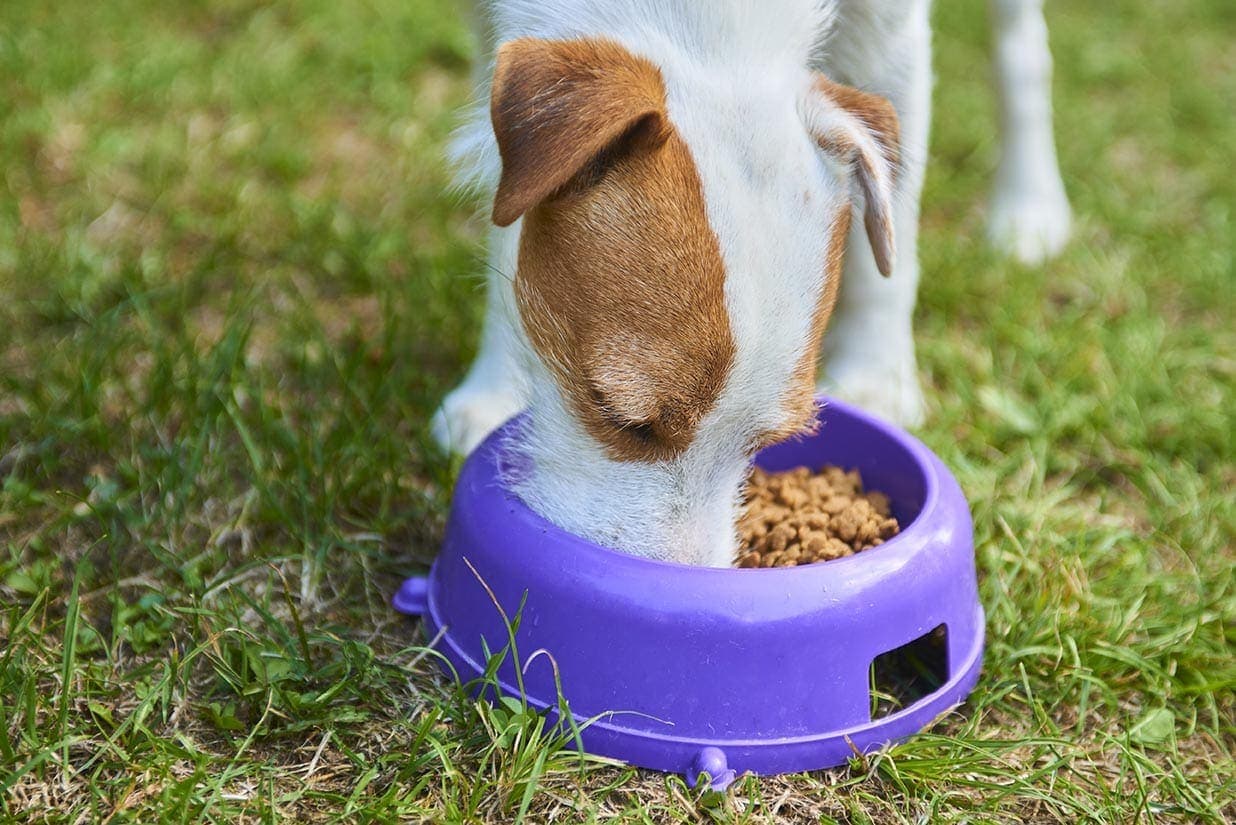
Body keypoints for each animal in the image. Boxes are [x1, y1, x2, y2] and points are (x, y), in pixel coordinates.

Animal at [430, 0, 1067, 568]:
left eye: (765, 445)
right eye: (615, 413)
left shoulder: (892, 32)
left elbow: (894, 237)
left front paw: (876, 377)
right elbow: (506, 222)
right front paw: (496, 388)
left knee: (1022, 50)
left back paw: (1029, 206)